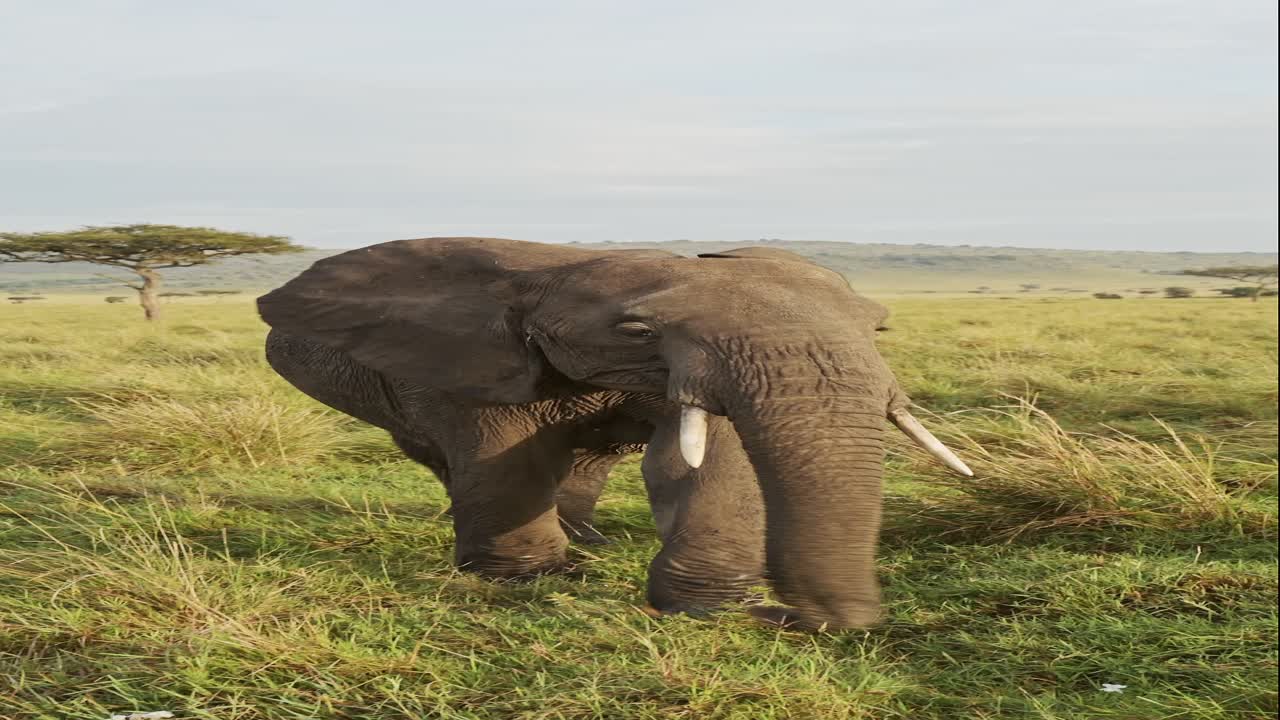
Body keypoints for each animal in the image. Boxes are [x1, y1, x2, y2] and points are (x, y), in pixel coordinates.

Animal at [257, 237, 972, 630]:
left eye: (879, 327)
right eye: (637, 330)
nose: (790, 617)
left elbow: (697, 460)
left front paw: (707, 606)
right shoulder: (460, 363)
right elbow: (498, 456)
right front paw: (525, 580)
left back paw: (589, 540)